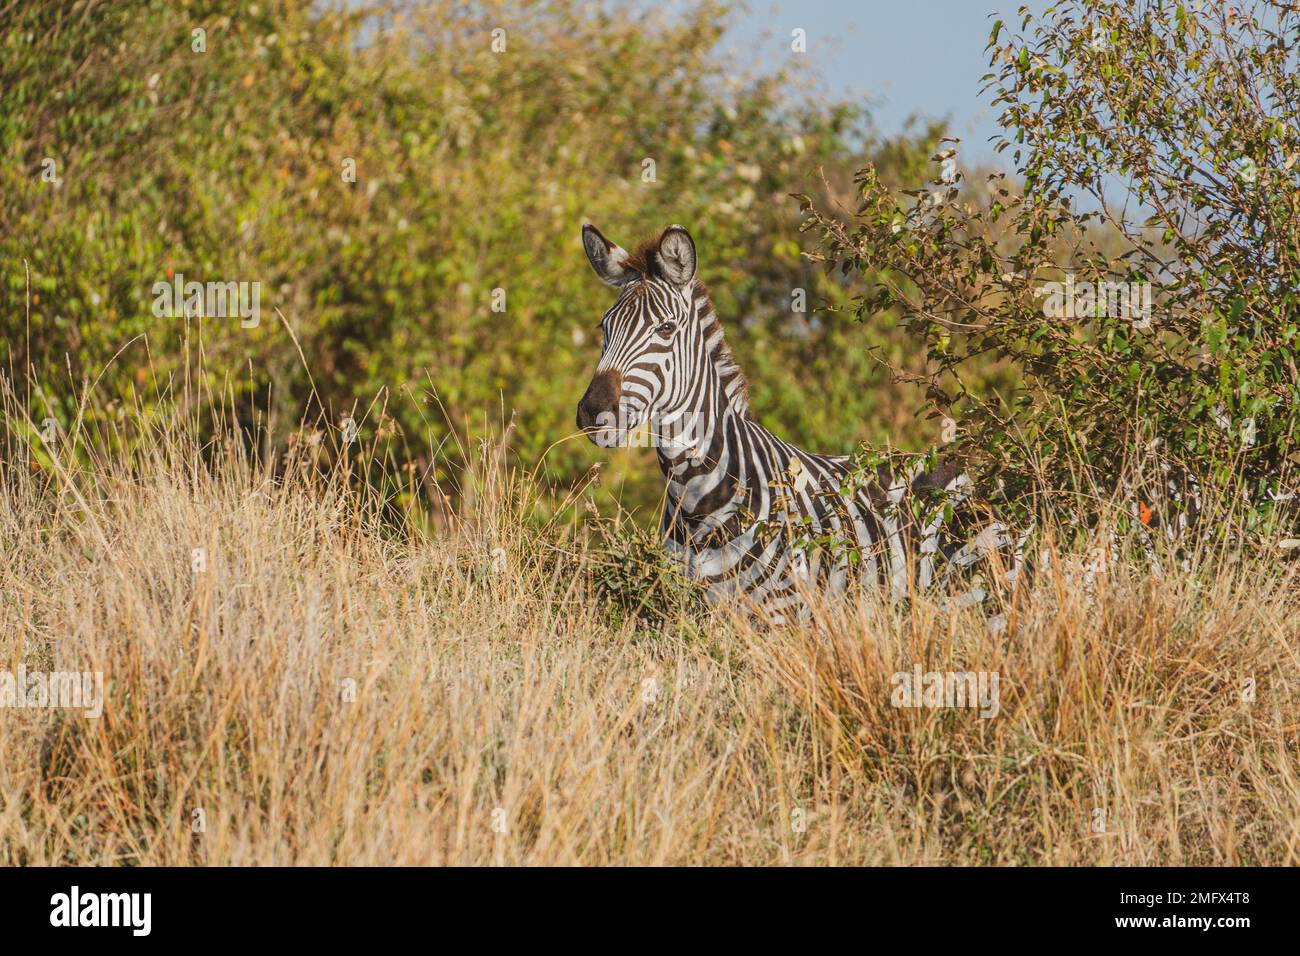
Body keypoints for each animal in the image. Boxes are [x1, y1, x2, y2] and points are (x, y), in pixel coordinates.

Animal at [574, 223, 1019, 621]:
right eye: (604, 327)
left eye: (666, 328)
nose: (594, 411)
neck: (698, 498)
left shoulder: (782, 616)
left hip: (978, 595)